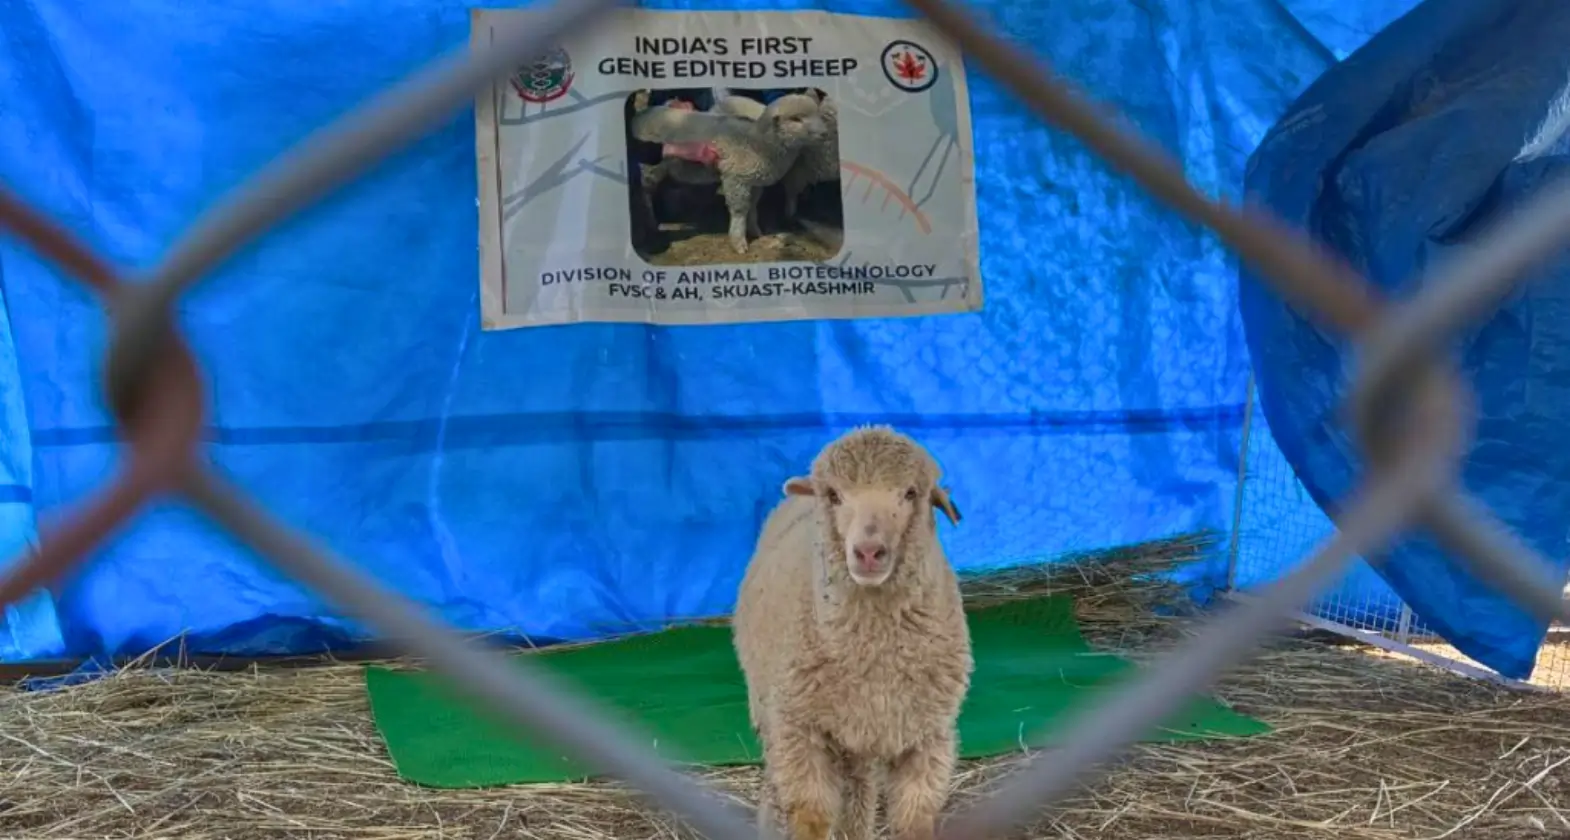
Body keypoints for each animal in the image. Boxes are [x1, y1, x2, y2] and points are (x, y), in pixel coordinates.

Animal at [732, 426, 972, 840]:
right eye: (834, 495)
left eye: (911, 493)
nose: (869, 552)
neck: (873, 653)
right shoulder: (800, 732)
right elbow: (810, 818)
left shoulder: (926, 737)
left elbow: (913, 821)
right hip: (771, 712)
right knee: (777, 781)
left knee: (859, 789)